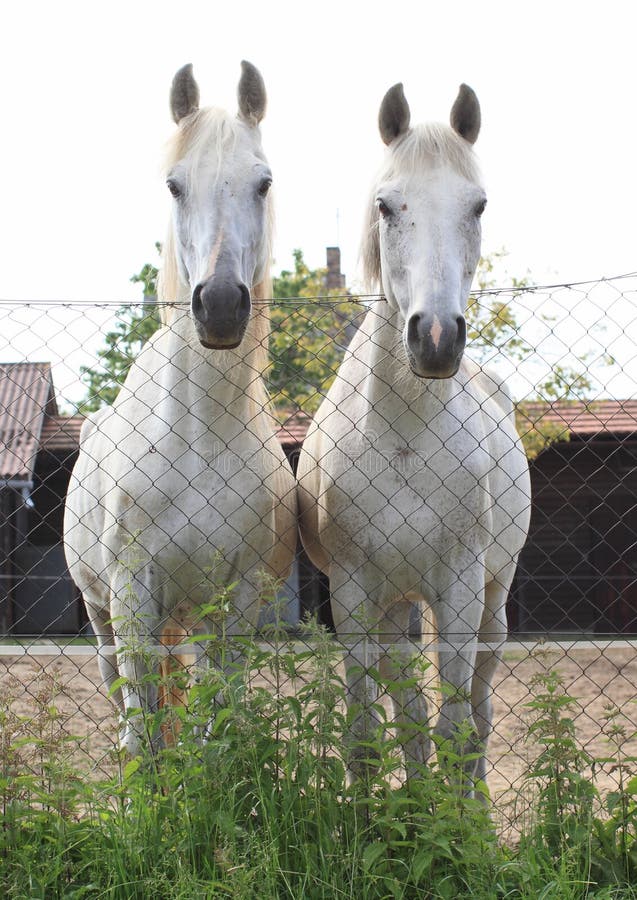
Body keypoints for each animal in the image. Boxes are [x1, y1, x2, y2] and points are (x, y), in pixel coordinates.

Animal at [64, 61, 297, 755]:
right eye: (174, 185)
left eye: (263, 182)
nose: (219, 305)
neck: (198, 441)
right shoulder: (133, 596)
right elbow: (145, 733)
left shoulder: (235, 600)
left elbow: (214, 729)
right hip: (102, 612)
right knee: (121, 698)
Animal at [297, 82, 531, 787]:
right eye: (386, 204)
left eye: (478, 204)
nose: (435, 337)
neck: (404, 438)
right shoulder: (353, 593)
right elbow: (370, 733)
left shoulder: (458, 586)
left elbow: (455, 727)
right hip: (395, 605)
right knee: (409, 715)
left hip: (490, 601)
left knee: (477, 714)